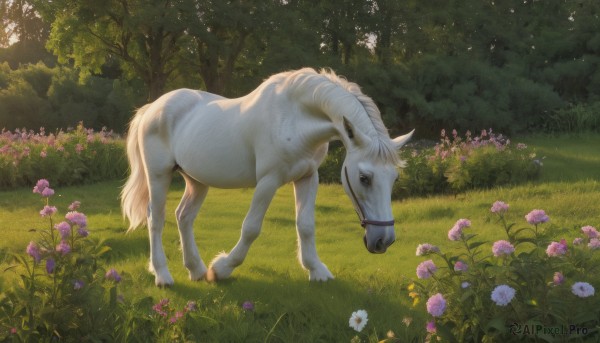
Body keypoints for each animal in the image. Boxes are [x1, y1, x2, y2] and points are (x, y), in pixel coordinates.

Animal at [120, 68, 414, 288]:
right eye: (364, 177)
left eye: (395, 178)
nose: (383, 241)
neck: (294, 117)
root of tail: (153, 107)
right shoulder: (269, 180)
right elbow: (251, 228)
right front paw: (222, 268)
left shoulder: (308, 177)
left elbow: (306, 225)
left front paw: (316, 270)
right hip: (158, 175)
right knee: (156, 219)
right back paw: (163, 275)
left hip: (196, 180)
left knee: (184, 216)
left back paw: (196, 270)